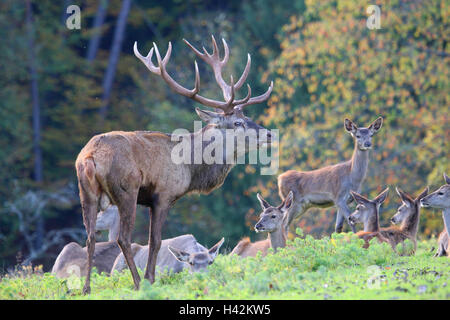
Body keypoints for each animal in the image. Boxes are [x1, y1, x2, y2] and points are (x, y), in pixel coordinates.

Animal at [75, 36, 272, 294]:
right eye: (238, 122)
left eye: (248, 117)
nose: (269, 134)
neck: (189, 168)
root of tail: (90, 157)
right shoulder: (163, 194)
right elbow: (155, 241)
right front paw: (150, 279)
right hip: (126, 190)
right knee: (123, 238)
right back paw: (138, 284)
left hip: (85, 191)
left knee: (89, 236)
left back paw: (86, 288)